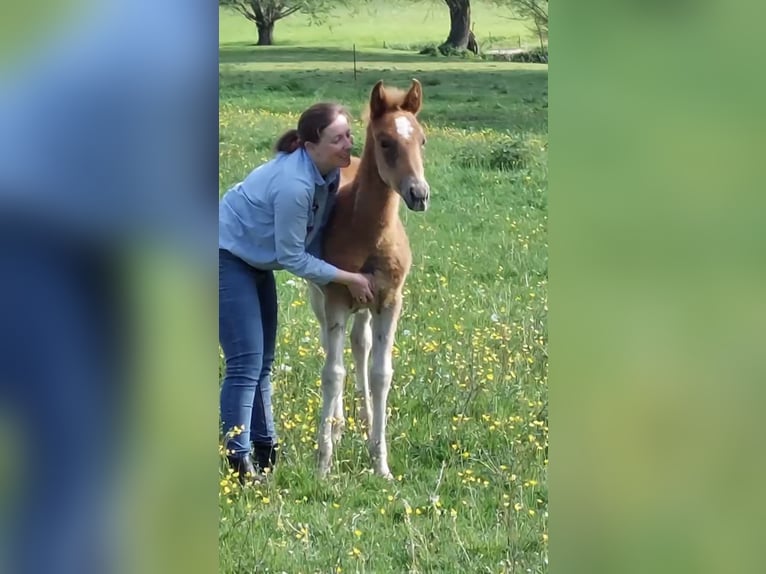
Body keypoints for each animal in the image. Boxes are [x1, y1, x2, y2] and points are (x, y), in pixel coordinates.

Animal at [309, 79, 430, 479]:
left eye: (422, 139)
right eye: (385, 141)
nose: (419, 194)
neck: (369, 232)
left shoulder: (390, 301)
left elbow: (381, 374)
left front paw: (381, 463)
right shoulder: (335, 299)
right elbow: (332, 372)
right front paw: (324, 463)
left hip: (365, 305)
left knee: (359, 344)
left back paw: (363, 418)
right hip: (320, 299)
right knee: (334, 349)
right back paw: (337, 424)